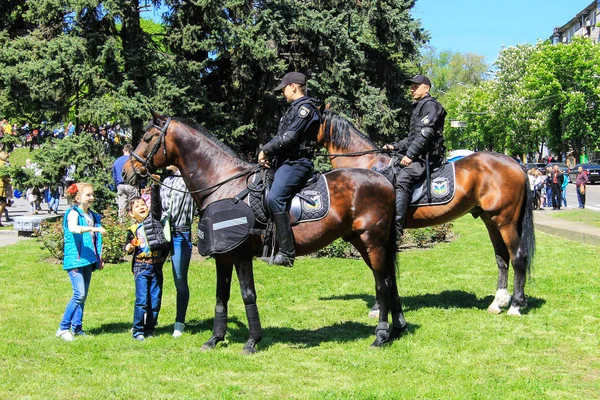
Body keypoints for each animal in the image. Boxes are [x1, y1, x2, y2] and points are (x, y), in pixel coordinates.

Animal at [120, 111, 404, 354]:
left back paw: (380, 336)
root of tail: (384, 179)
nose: (126, 171)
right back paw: (397, 329)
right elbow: (221, 296)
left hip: (373, 242)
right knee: (389, 281)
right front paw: (215, 339)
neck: (224, 186)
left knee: (382, 284)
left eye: (147, 138)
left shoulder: (241, 254)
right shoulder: (223, 256)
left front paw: (252, 341)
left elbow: (248, 295)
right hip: (362, 242)